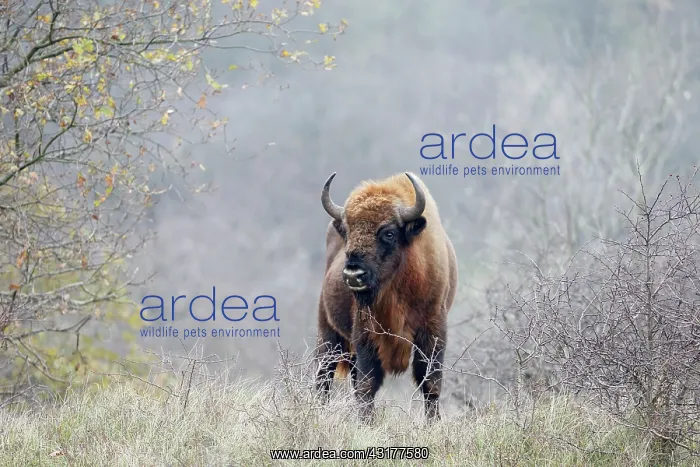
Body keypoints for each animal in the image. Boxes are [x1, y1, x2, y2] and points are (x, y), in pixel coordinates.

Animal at [314, 171, 458, 422]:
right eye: (348, 231)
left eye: (388, 233)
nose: (353, 274)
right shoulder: (365, 334)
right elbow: (367, 385)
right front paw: (366, 423)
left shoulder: (433, 330)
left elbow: (430, 382)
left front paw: (433, 423)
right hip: (328, 334)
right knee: (324, 377)